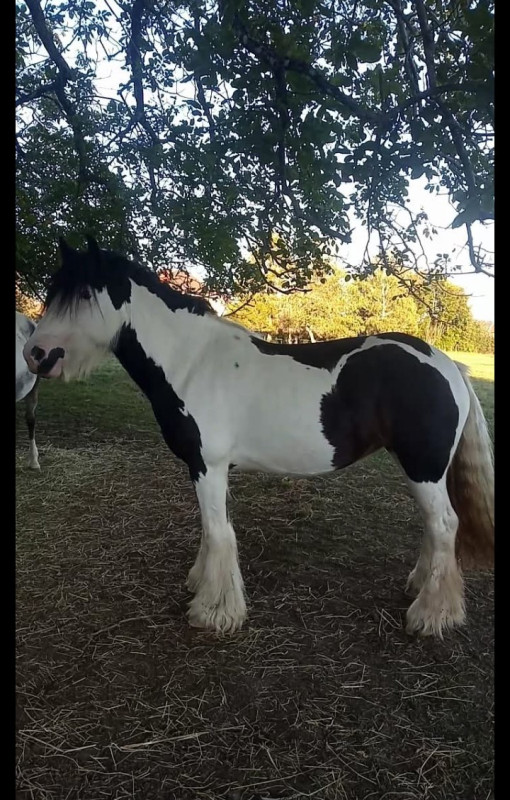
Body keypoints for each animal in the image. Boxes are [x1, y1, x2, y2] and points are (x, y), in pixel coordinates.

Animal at [23, 236, 494, 638]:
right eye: (54, 291)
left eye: (85, 294)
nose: (35, 354)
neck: (190, 362)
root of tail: (449, 365)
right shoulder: (204, 469)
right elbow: (211, 529)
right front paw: (200, 584)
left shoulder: (208, 465)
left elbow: (219, 533)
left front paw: (214, 612)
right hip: (417, 467)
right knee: (435, 527)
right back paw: (420, 588)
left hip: (424, 467)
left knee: (445, 524)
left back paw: (431, 615)